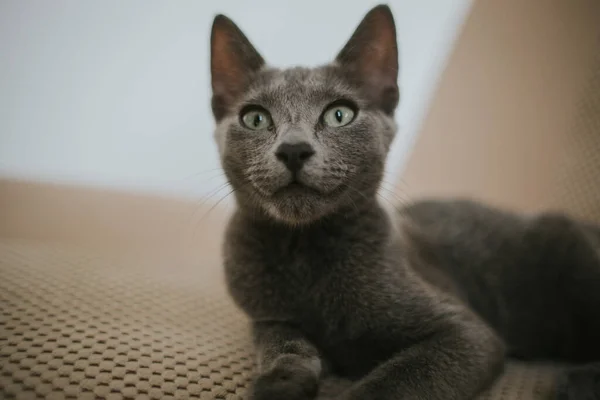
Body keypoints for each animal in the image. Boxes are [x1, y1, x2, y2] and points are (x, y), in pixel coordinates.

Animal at [207, 3, 600, 400]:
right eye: (256, 118)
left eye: (339, 114)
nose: (293, 149)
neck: (303, 251)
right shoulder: (265, 317)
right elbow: (281, 340)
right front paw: (281, 380)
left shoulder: (465, 332)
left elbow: (394, 381)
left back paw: (577, 382)